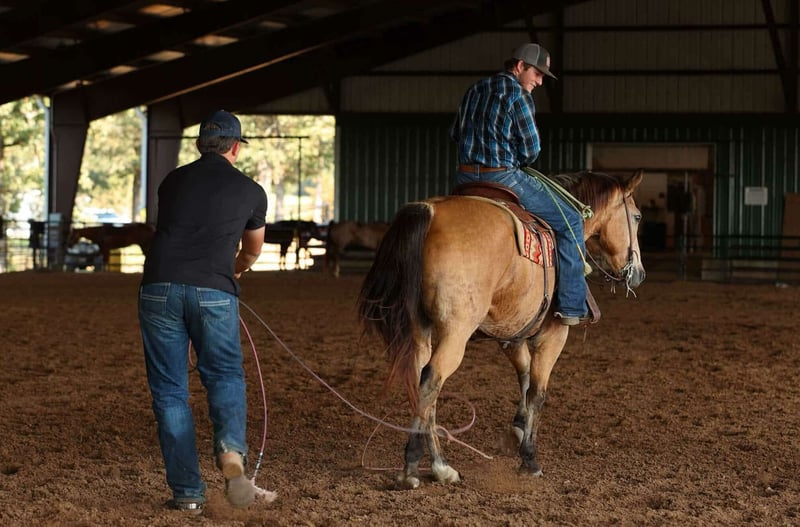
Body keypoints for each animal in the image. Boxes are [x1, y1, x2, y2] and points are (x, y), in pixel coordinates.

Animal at [357, 170, 645, 489]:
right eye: (636, 217)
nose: (639, 274)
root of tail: (430, 213)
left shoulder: (512, 332)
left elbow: (525, 376)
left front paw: (516, 430)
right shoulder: (553, 335)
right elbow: (538, 392)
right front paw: (529, 459)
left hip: (420, 329)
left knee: (422, 382)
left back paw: (442, 468)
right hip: (456, 332)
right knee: (432, 379)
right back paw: (412, 468)